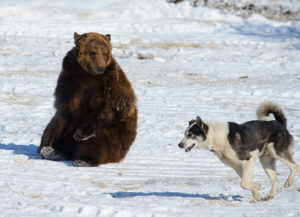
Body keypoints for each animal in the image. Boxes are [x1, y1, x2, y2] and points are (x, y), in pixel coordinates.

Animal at [36, 31, 138, 166]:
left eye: (104, 52)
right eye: (93, 52)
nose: (101, 68)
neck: (88, 74)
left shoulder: (109, 83)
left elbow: (113, 106)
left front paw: (80, 134)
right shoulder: (70, 80)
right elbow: (64, 109)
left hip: (118, 136)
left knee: (99, 141)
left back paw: (82, 159)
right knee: (53, 126)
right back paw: (49, 149)